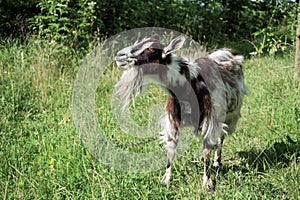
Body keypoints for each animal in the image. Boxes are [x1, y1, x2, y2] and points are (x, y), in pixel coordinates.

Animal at [113, 34, 247, 191]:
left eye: (151, 50)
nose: (119, 55)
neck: (189, 86)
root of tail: (230, 50)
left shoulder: (211, 121)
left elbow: (207, 151)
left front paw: (207, 183)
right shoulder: (173, 121)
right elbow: (171, 151)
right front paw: (166, 179)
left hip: (230, 115)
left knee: (221, 137)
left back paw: (217, 162)